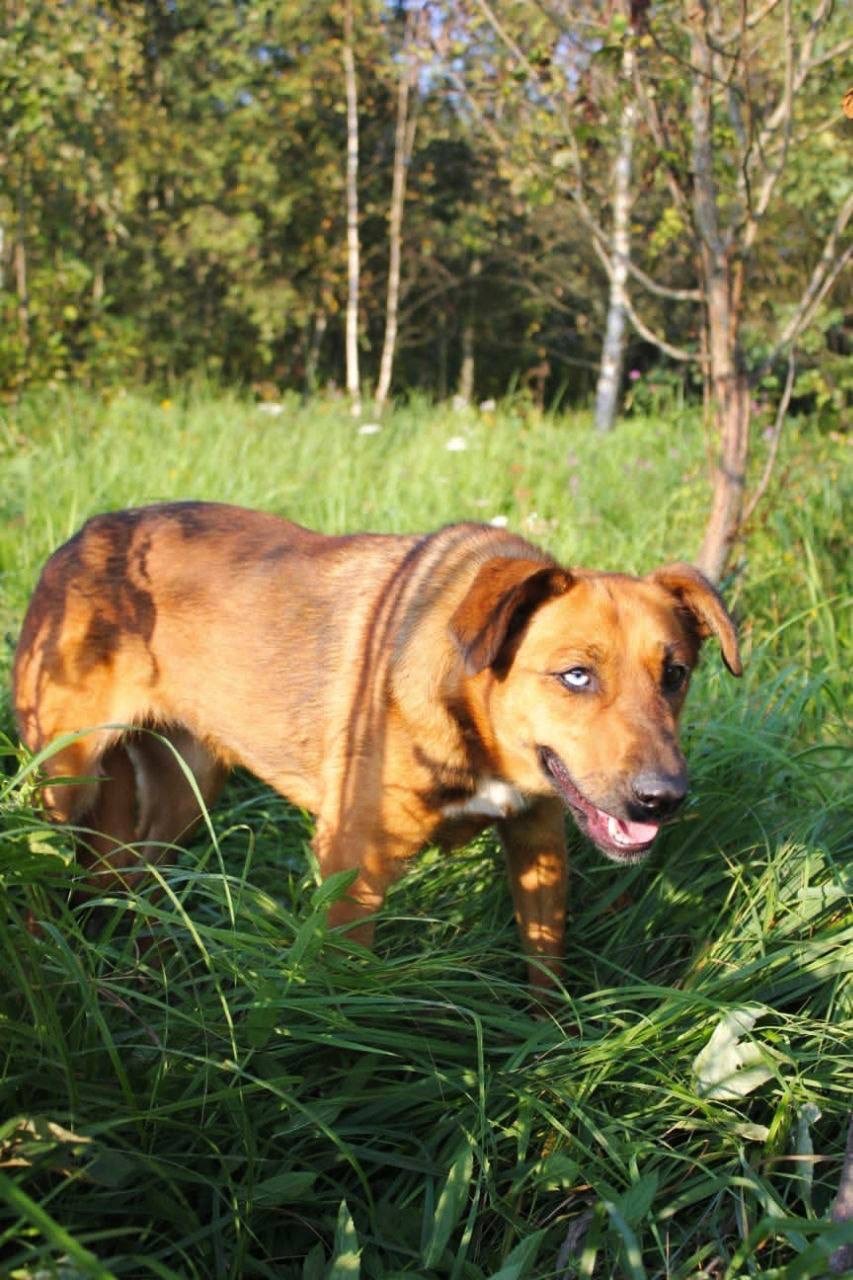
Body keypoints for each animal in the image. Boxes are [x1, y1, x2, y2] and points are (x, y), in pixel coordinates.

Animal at [11, 504, 737, 983]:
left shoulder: (539, 840)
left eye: (675, 675)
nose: (663, 800)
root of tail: (82, 538)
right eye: (576, 675)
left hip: (183, 791)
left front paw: (551, 1044)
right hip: (65, 780)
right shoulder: (353, 867)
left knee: (132, 878)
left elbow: (544, 965)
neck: (469, 712)